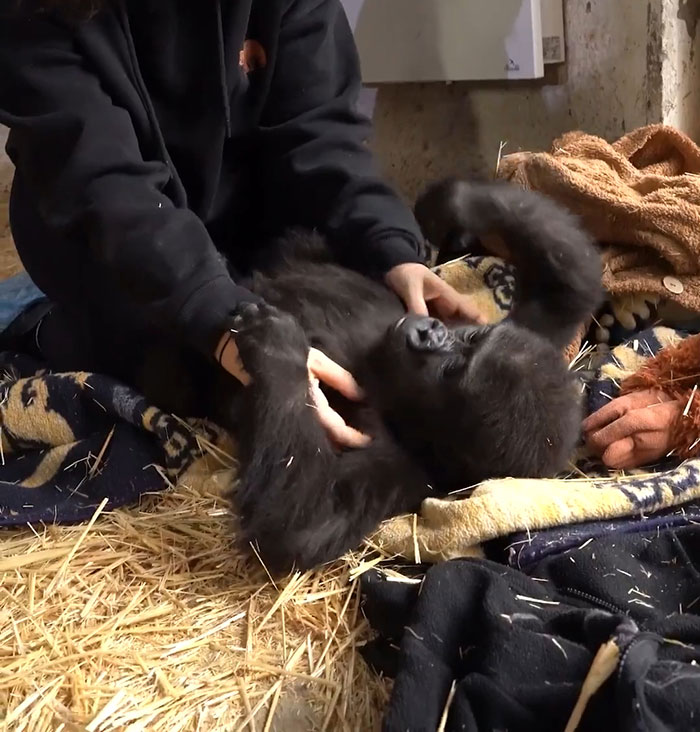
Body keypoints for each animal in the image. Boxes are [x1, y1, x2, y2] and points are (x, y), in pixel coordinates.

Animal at [216, 177, 600, 572]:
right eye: (470, 338)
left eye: (452, 370)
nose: (430, 332)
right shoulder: (529, 332)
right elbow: (573, 285)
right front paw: (455, 203)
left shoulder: (402, 471)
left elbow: (301, 522)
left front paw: (277, 344)